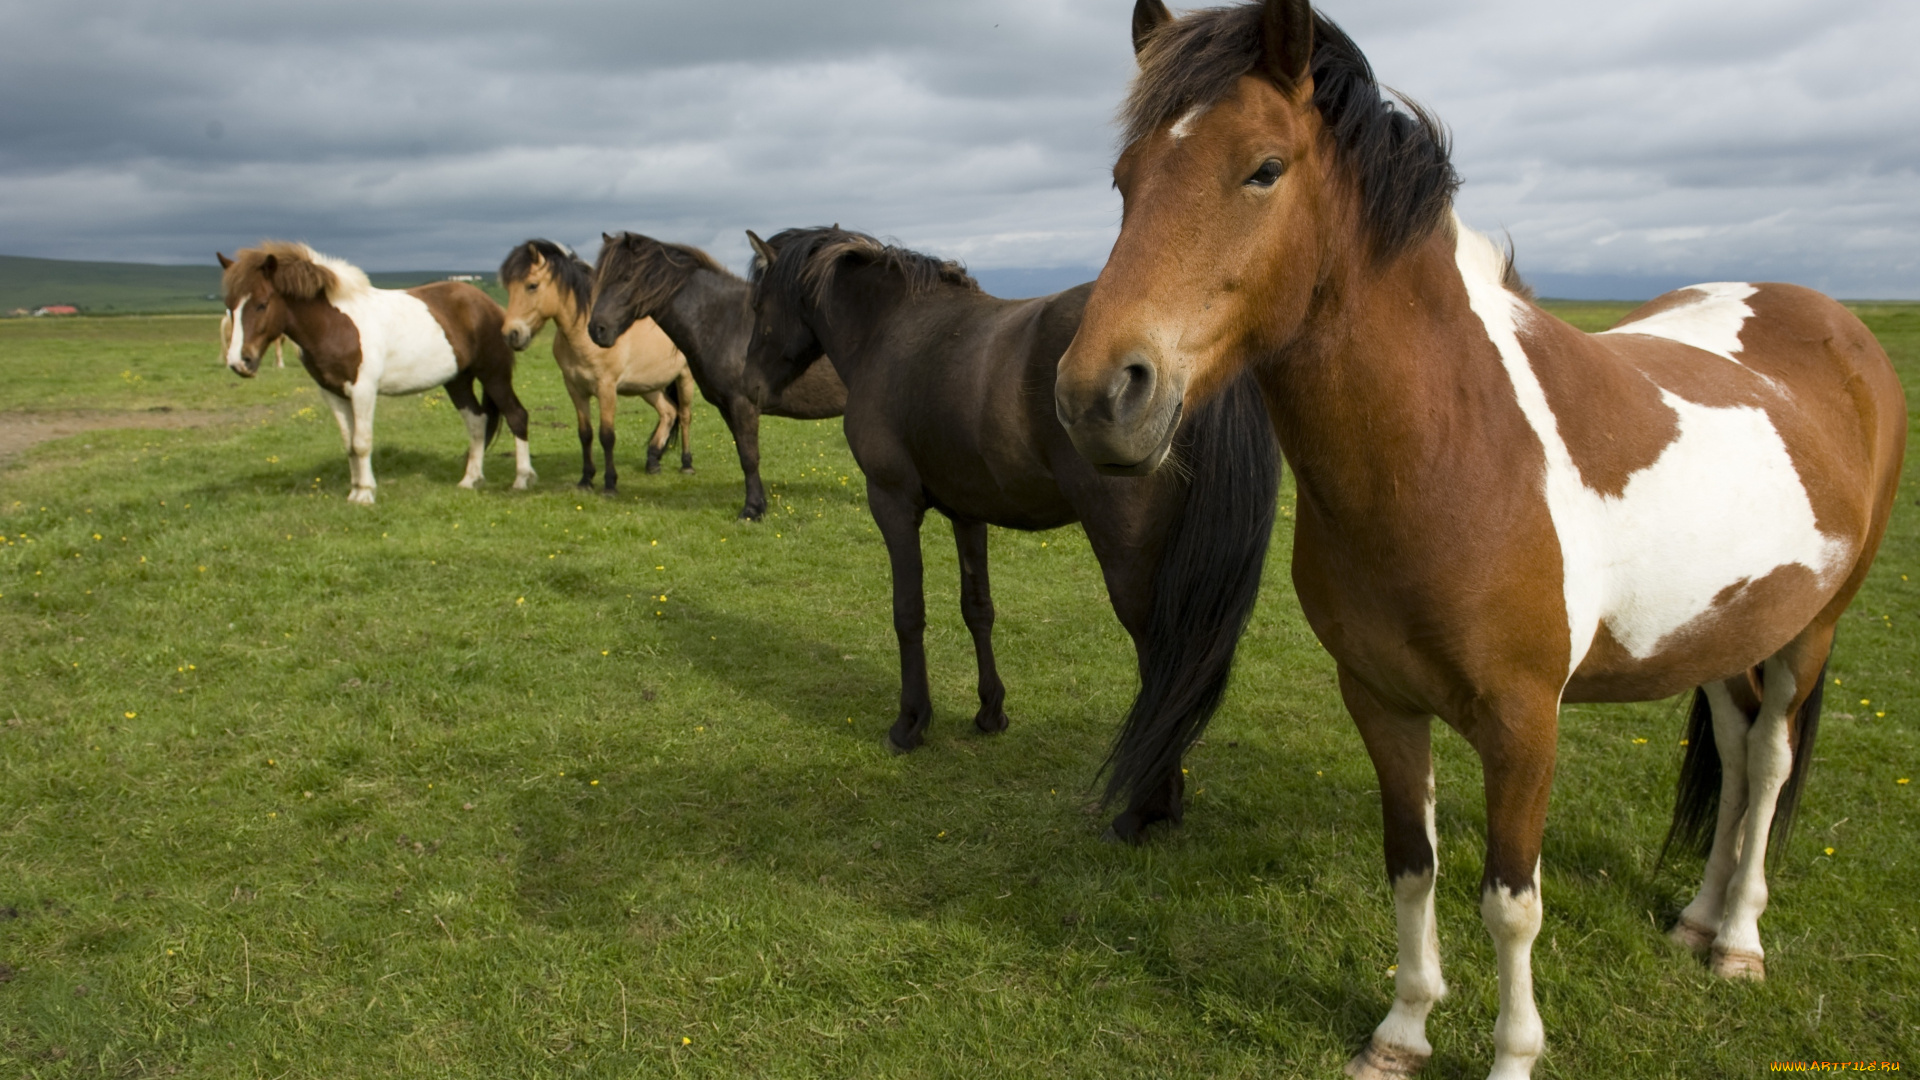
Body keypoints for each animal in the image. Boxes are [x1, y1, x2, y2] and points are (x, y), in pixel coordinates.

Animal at [220, 242, 537, 503]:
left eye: (262, 304)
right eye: (230, 306)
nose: (239, 362)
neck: (333, 324)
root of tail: (490, 306)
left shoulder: (363, 389)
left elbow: (361, 442)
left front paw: (366, 494)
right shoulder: (332, 393)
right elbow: (349, 444)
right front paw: (355, 491)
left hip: (493, 374)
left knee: (516, 415)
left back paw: (522, 479)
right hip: (458, 380)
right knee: (477, 422)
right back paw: (470, 479)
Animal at [499, 242, 702, 490]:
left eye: (532, 285)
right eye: (508, 288)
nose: (511, 335)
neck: (584, 335)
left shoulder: (606, 388)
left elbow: (607, 436)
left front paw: (610, 484)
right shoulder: (575, 389)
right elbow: (585, 433)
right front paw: (586, 480)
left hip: (684, 378)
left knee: (684, 415)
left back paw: (686, 464)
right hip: (648, 386)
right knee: (668, 412)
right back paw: (653, 461)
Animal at [583, 234, 848, 522]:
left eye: (626, 276)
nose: (597, 329)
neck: (722, 322)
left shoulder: (743, 404)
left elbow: (750, 457)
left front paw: (751, 510)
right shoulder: (726, 408)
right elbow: (743, 454)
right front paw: (758, 504)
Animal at [741, 222, 1282, 837]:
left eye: (757, 305)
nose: (748, 385)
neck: (891, 328)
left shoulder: (893, 502)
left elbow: (908, 613)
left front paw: (911, 722)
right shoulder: (968, 511)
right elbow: (978, 609)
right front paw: (990, 710)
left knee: (1161, 659)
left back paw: (1146, 810)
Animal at [1059, 4, 1912, 1068]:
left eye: (1263, 168)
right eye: (1124, 178)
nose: (1099, 398)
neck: (1453, 450)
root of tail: (1834, 324)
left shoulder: (1524, 721)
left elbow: (1511, 903)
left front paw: (1512, 1054)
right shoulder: (1380, 700)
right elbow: (1410, 865)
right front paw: (1400, 1032)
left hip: (1814, 630)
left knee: (1768, 764)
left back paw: (1740, 941)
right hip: (1722, 631)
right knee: (1734, 737)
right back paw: (1697, 919)